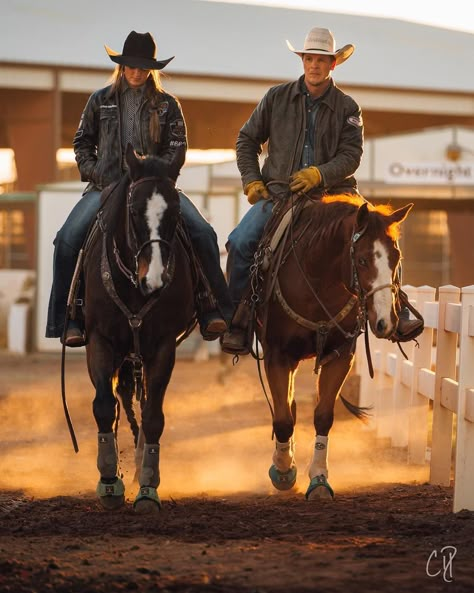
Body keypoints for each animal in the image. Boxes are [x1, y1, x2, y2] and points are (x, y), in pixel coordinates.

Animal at [81, 146, 194, 512]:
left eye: (175, 211)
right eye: (133, 211)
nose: (154, 279)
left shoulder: (163, 346)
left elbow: (154, 415)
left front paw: (147, 487)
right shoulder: (99, 340)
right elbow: (104, 405)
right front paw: (108, 481)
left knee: (142, 405)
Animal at [254, 194, 412, 500]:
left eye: (396, 258)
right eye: (362, 259)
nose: (386, 321)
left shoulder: (340, 356)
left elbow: (323, 416)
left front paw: (318, 479)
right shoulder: (277, 354)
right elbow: (282, 419)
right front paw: (283, 472)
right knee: (286, 408)